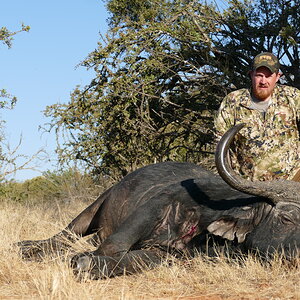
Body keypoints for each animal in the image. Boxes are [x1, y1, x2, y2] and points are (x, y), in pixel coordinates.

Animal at [18, 123, 300, 278]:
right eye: (287, 218)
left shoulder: (168, 255)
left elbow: (131, 260)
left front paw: (90, 263)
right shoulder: (153, 209)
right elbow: (112, 245)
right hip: (92, 209)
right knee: (63, 236)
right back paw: (26, 246)